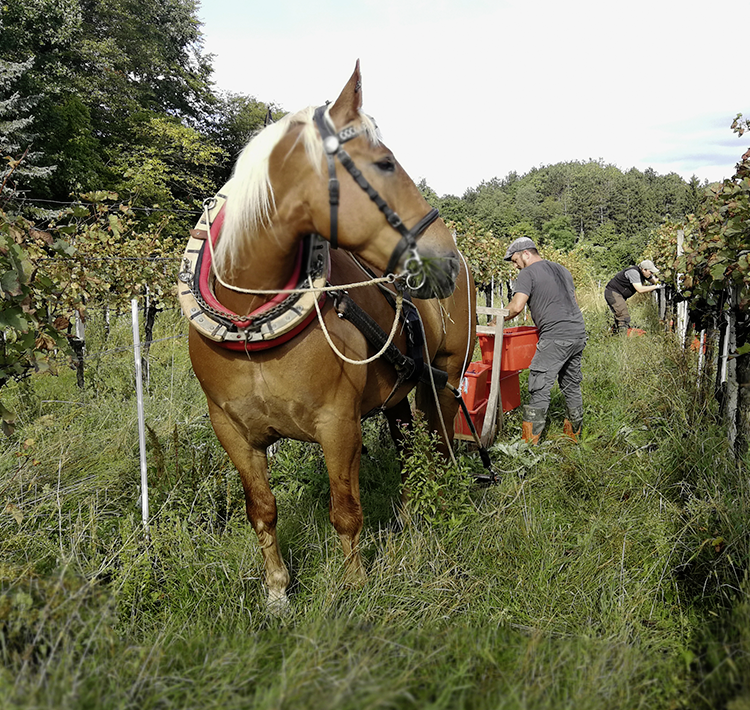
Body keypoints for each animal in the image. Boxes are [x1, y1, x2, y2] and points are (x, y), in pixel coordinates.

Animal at [182, 62, 476, 609]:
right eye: (384, 163)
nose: (443, 257)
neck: (251, 321)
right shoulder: (231, 430)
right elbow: (262, 510)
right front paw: (278, 591)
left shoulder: (337, 423)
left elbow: (345, 510)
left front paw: (355, 586)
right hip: (398, 391)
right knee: (408, 447)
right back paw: (407, 515)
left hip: (443, 377)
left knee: (439, 445)